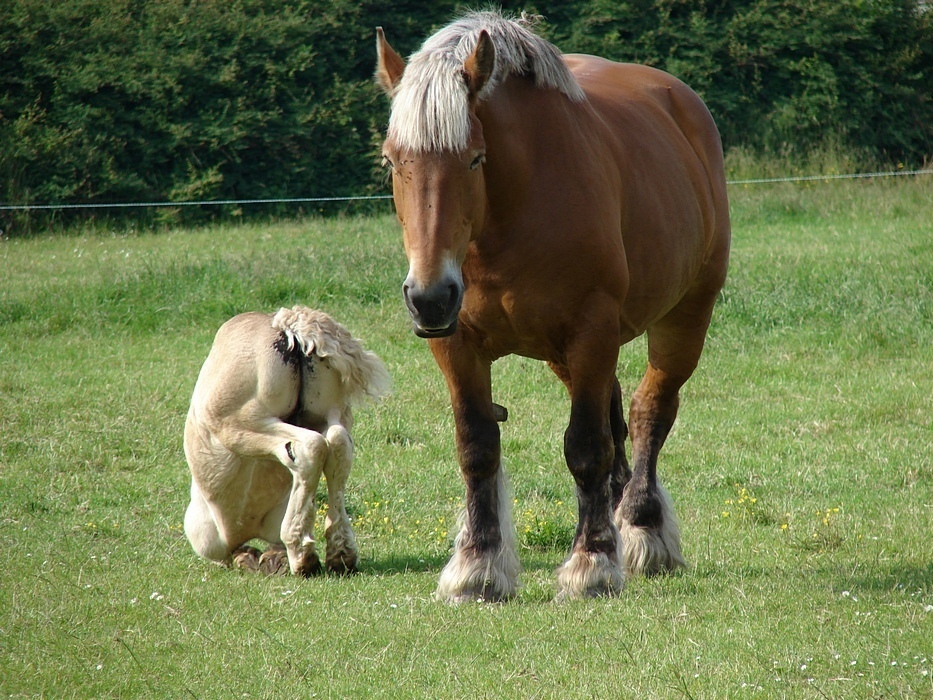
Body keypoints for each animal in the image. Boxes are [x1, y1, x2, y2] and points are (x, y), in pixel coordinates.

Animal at [184, 306, 388, 576]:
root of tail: (285, 324)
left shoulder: (205, 534)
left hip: (243, 422)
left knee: (311, 446)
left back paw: (301, 553)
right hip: (329, 413)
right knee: (338, 444)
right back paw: (341, 553)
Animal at [374, 10, 732, 600]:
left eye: (475, 158)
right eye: (392, 161)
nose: (429, 297)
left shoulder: (591, 331)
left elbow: (585, 447)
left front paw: (593, 564)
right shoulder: (458, 344)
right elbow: (477, 446)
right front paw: (478, 565)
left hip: (684, 317)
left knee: (649, 411)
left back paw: (642, 527)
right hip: (565, 355)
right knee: (618, 419)